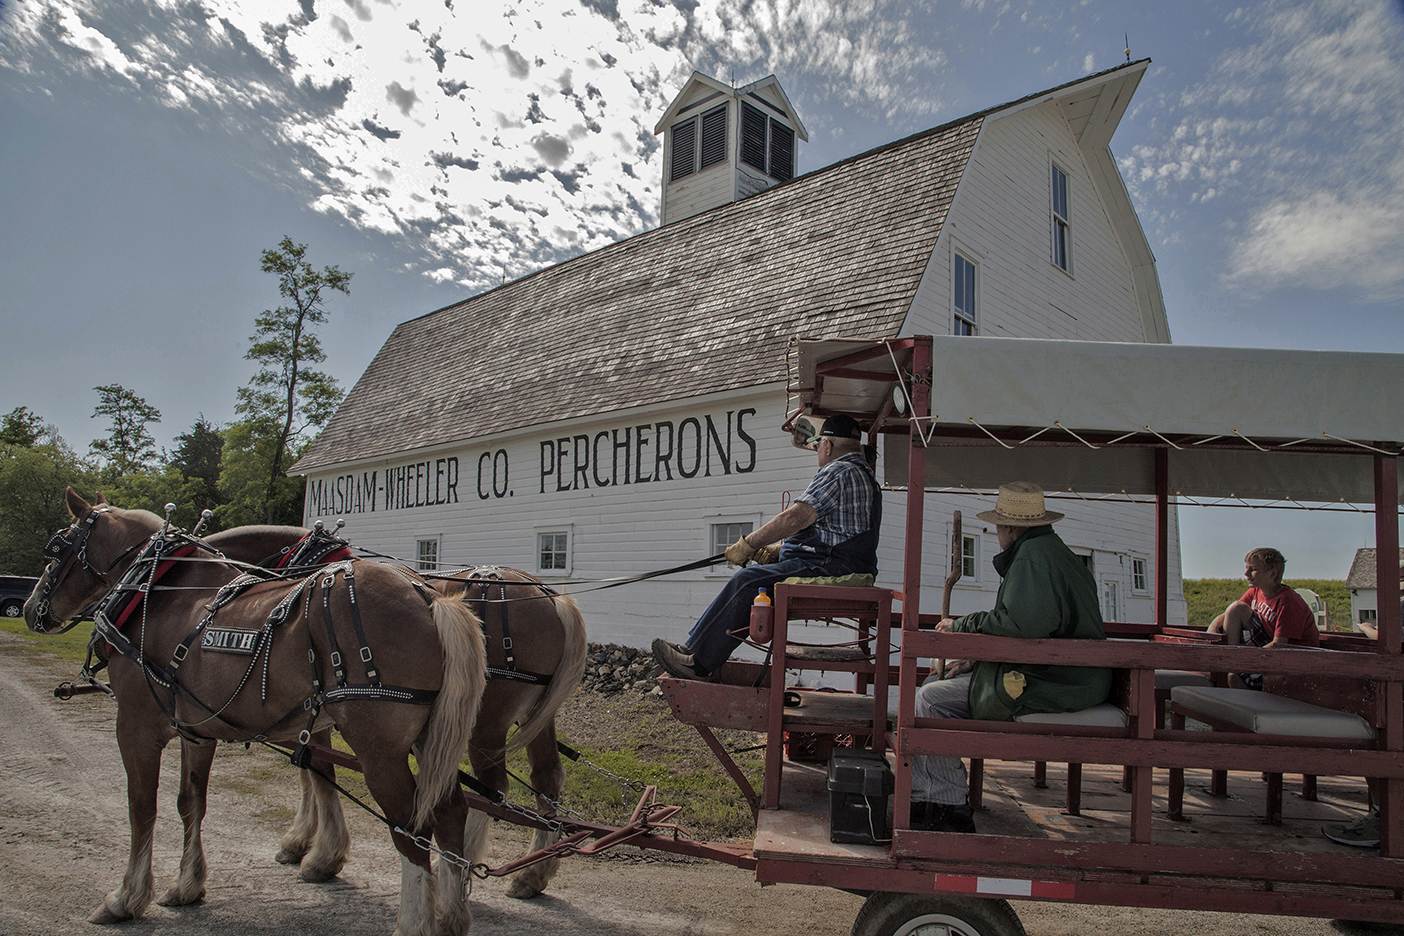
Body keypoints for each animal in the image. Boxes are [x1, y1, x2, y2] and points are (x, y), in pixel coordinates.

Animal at [19, 491, 491, 936]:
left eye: (56, 547)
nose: (28, 609)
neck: (161, 595)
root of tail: (427, 597)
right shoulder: (195, 730)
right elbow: (191, 803)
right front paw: (187, 886)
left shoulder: (135, 726)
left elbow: (142, 807)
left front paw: (126, 898)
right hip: (430, 739)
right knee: (451, 811)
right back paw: (450, 915)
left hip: (380, 751)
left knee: (411, 829)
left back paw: (414, 922)